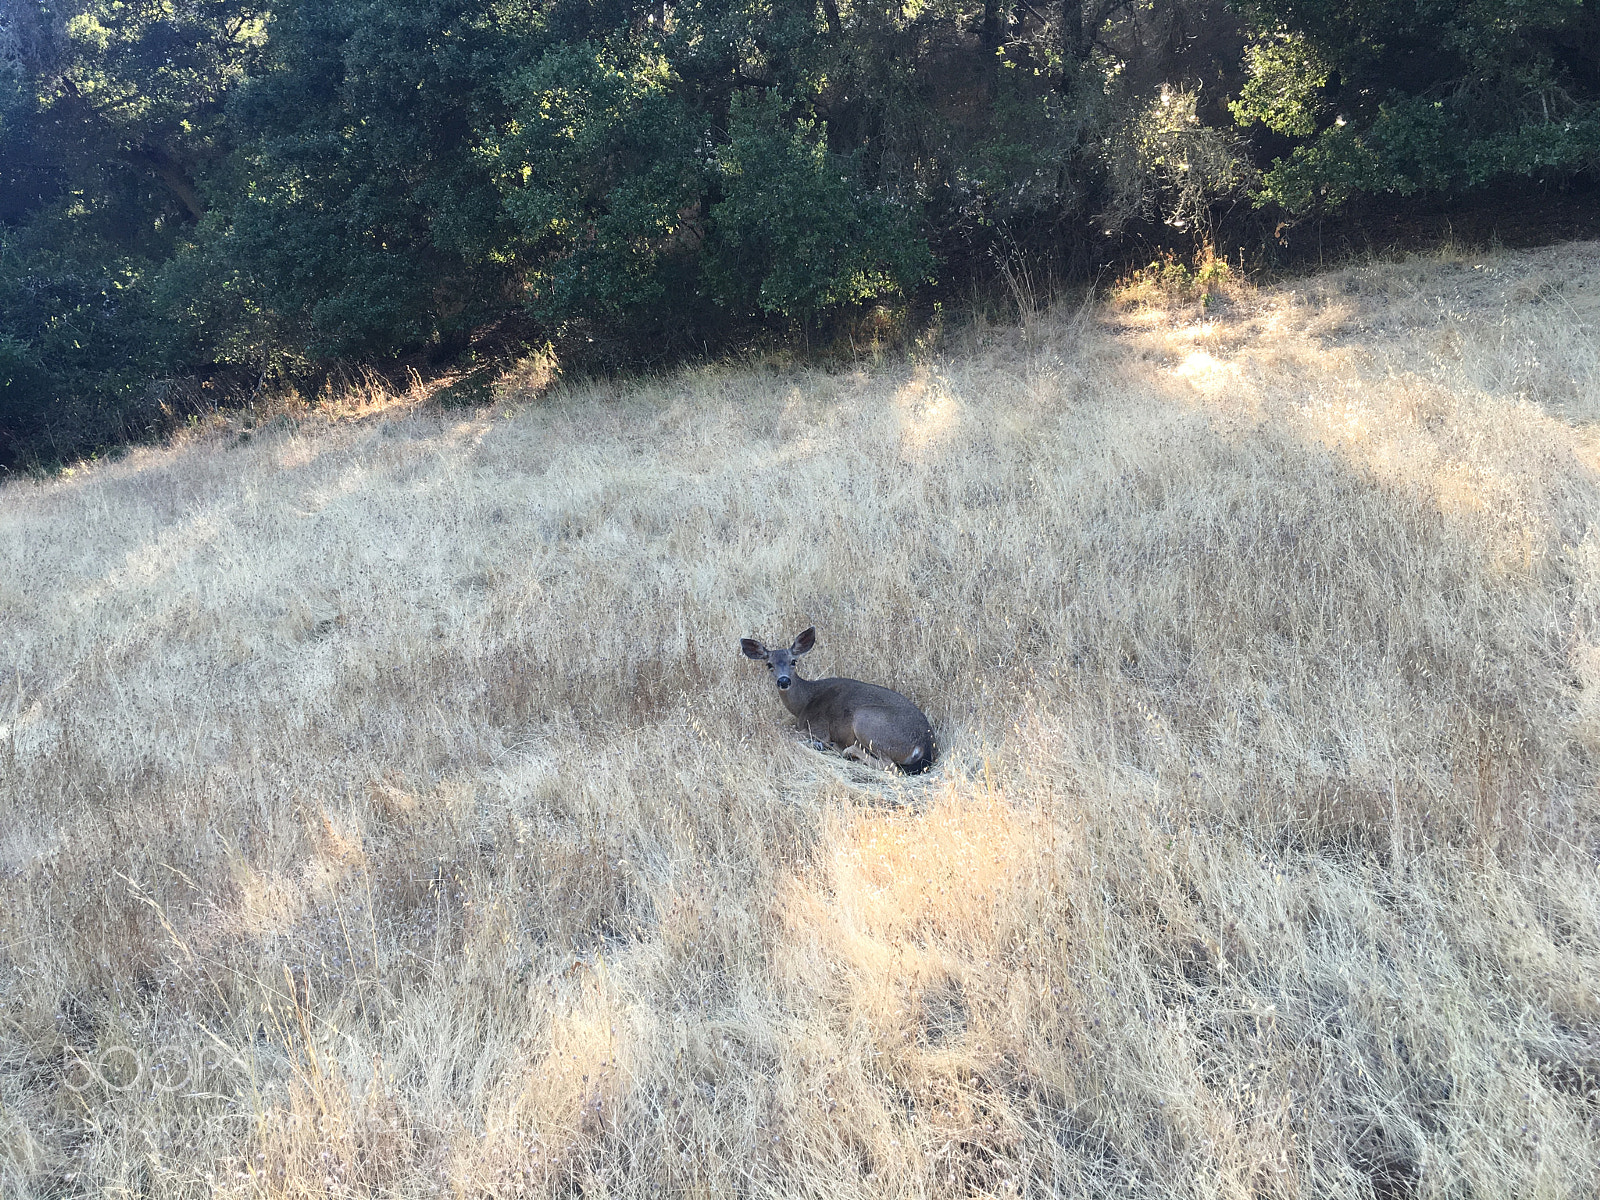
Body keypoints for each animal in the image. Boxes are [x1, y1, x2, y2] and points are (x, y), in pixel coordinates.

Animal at [739, 627, 937, 773]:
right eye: (769, 664)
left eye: (793, 661)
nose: (784, 681)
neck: (804, 703)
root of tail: (924, 745)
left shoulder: (818, 728)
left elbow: (789, 734)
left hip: (867, 720)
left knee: (890, 766)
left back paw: (846, 751)